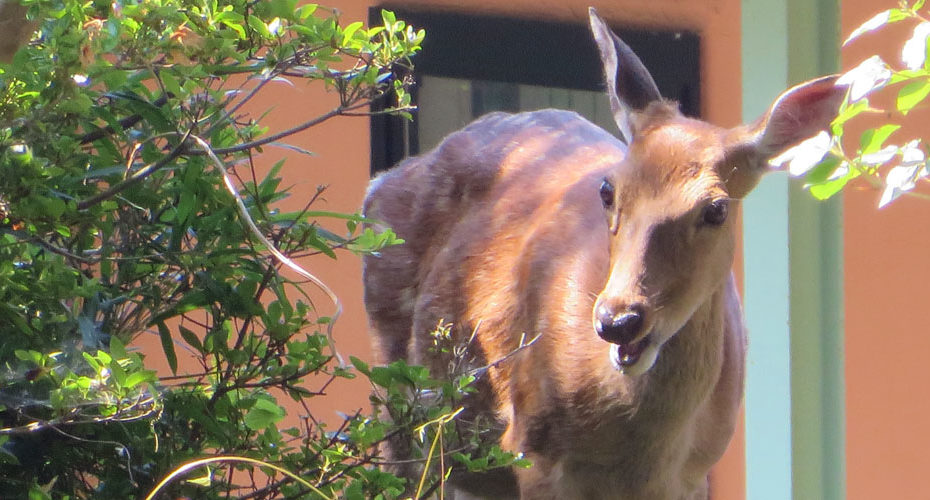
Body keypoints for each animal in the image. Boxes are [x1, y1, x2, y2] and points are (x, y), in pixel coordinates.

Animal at [362, 8, 846, 500]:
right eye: (608, 190)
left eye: (717, 208)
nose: (619, 320)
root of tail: (383, 181)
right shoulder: (533, 449)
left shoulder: (695, 472)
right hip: (397, 390)